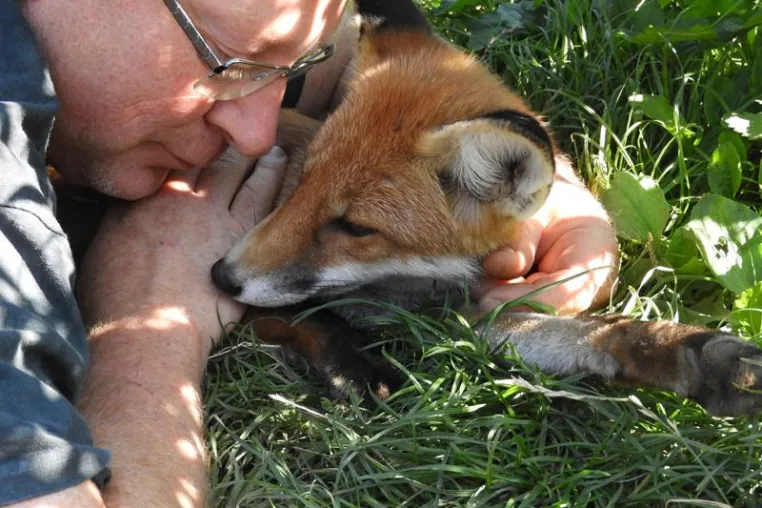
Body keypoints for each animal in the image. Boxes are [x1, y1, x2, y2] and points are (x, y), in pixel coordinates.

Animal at [210, 0, 762, 416]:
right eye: (299, 183)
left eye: (355, 227)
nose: (220, 275)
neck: (409, 285)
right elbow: (314, 319)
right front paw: (357, 369)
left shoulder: (459, 314)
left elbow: (582, 333)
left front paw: (689, 356)